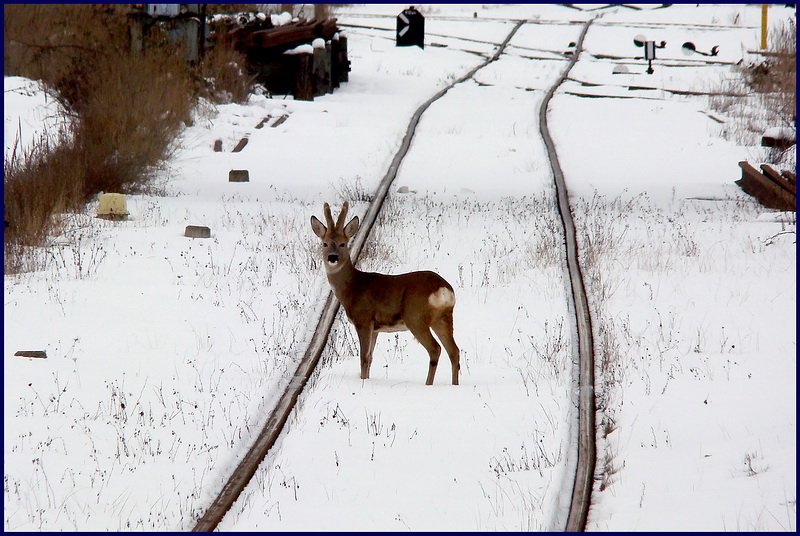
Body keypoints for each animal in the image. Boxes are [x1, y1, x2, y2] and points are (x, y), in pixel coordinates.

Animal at [312, 201, 462, 386]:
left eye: (343, 243)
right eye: (325, 244)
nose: (332, 258)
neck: (353, 287)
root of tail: (443, 289)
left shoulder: (364, 320)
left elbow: (363, 358)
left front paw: (363, 383)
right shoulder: (376, 329)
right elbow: (370, 357)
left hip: (416, 317)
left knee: (435, 349)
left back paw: (428, 385)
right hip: (443, 317)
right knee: (454, 351)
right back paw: (454, 385)